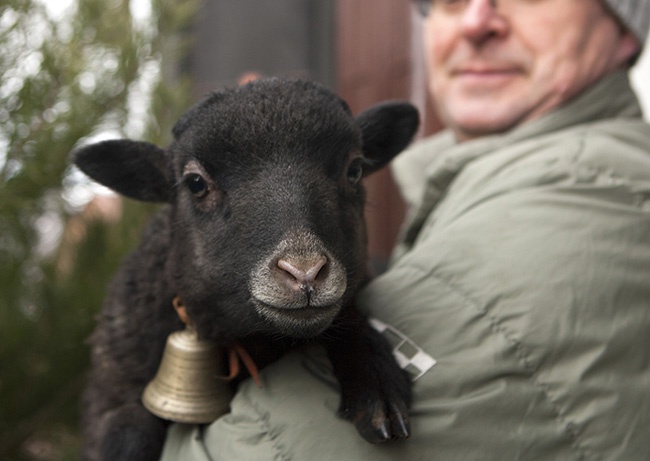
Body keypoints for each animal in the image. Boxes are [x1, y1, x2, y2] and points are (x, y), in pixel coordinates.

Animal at [73, 78, 418, 460]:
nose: (305, 273)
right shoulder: (113, 390)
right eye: (195, 183)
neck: (253, 339)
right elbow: (129, 435)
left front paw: (376, 382)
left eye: (354, 169)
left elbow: (350, 320)